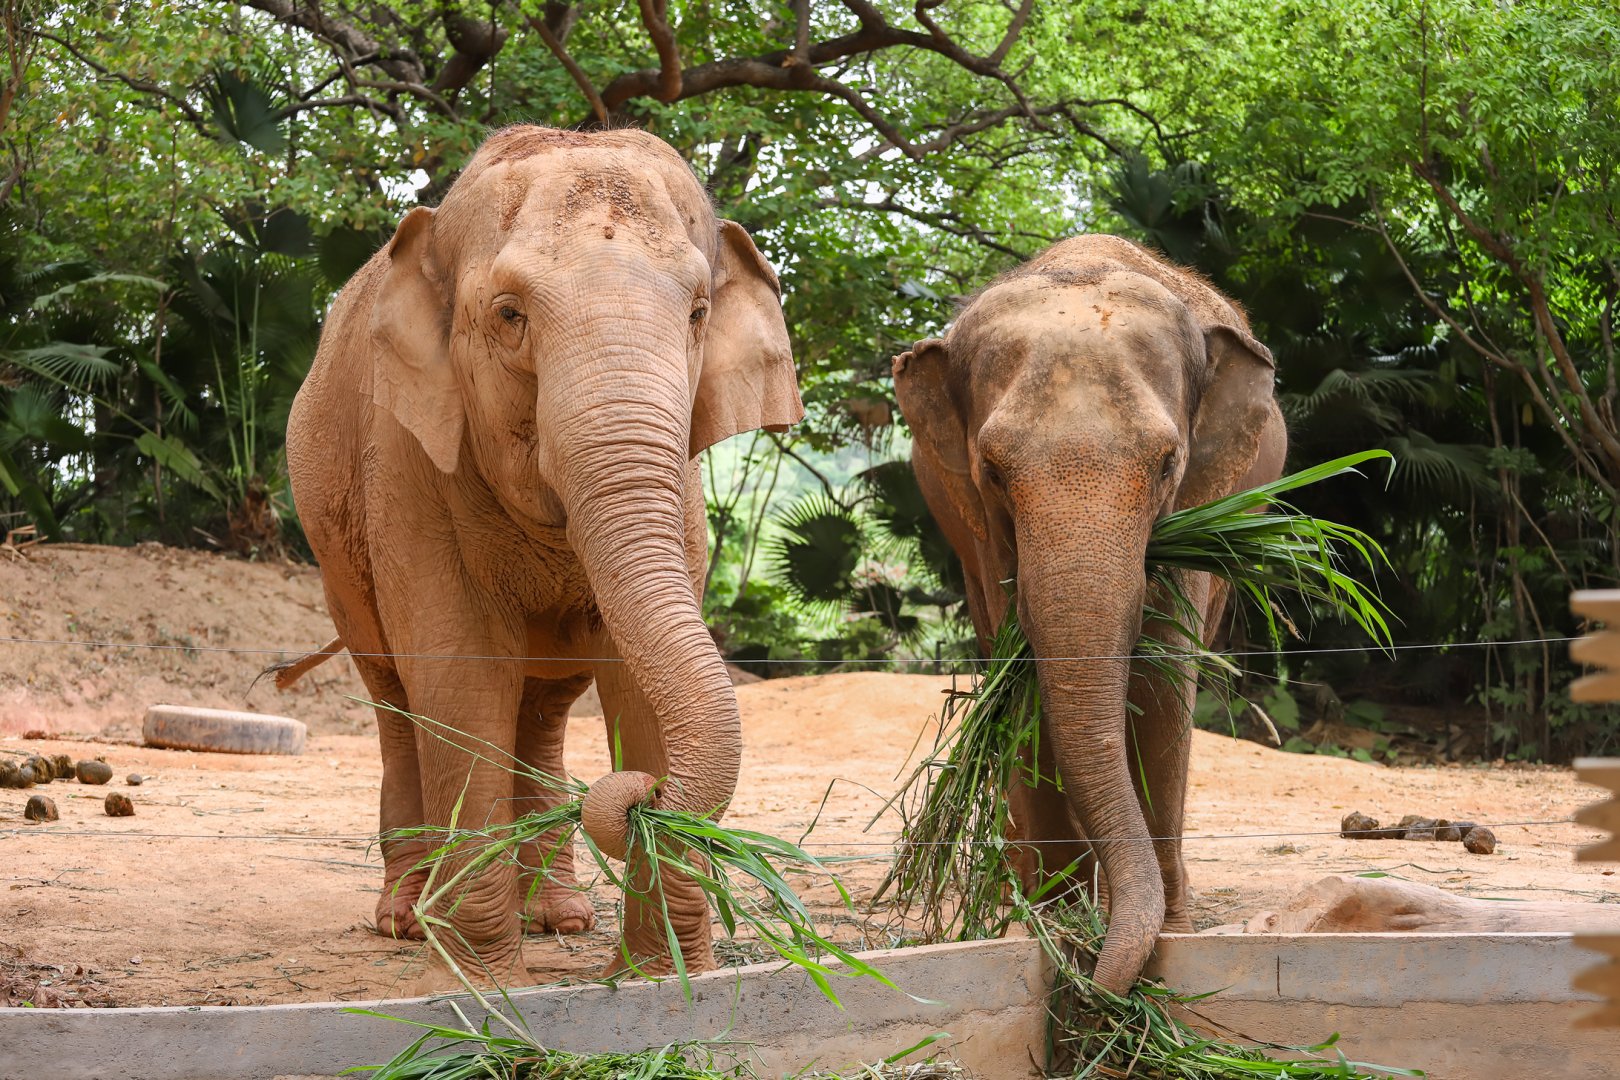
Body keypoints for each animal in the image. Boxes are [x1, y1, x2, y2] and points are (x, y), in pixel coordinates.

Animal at [284, 124, 802, 980]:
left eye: (698, 313)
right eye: (509, 314)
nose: (637, 794)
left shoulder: (684, 496)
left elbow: (635, 680)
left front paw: (663, 978)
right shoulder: (408, 460)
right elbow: (460, 671)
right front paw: (481, 983)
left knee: (544, 704)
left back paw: (558, 916)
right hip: (335, 555)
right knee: (395, 697)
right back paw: (405, 918)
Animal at [891, 234, 1286, 994]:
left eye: (1167, 463)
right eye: (991, 469)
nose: (1099, 988)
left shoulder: (1198, 503)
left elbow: (1163, 682)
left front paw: (1167, 938)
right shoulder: (982, 528)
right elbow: (1021, 682)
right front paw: (1057, 929)